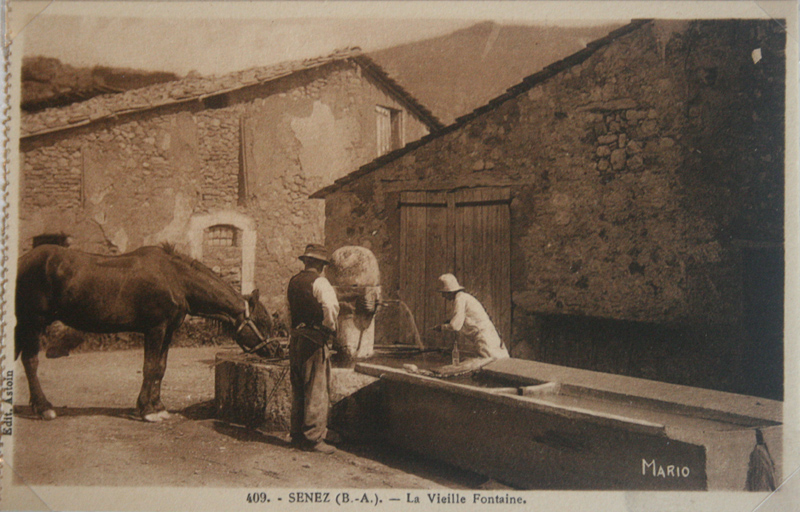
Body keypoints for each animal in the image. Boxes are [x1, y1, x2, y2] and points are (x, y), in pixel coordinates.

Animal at [14, 246, 280, 422]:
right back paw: (44, 406)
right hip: (32, 322)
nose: (274, 350)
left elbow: (160, 369)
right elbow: (150, 368)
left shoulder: (168, 330)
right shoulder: (155, 329)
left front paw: (157, 405)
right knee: (30, 361)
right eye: (262, 321)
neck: (175, 278)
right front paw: (147, 410)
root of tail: (23, 259)